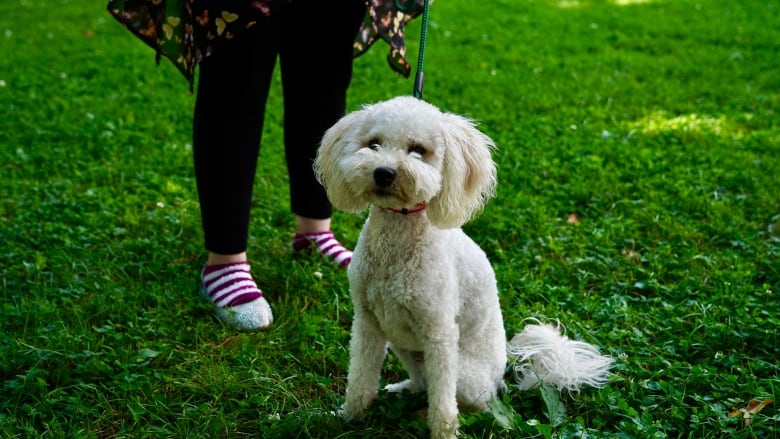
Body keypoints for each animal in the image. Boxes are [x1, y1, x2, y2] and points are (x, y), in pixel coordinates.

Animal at [314, 97, 612, 439]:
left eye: (418, 150)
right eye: (373, 144)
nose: (384, 172)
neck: (398, 236)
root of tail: (500, 383)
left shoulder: (440, 334)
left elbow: (444, 403)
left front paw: (443, 433)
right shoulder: (367, 323)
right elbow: (360, 379)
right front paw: (347, 417)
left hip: (463, 374)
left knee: (471, 404)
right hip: (404, 346)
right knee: (423, 384)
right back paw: (403, 391)